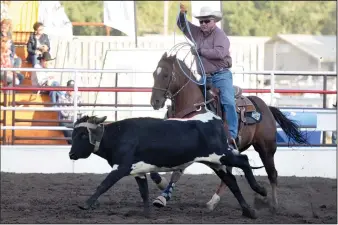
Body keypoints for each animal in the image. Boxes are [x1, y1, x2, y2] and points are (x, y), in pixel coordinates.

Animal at [149, 52, 308, 214]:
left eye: (166, 75)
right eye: (154, 74)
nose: (155, 101)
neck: (192, 107)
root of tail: (267, 107)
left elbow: (177, 172)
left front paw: (163, 192)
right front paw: (162, 191)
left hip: (266, 148)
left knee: (272, 174)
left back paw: (273, 204)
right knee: (229, 175)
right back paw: (214, 201)